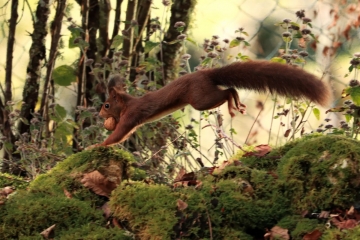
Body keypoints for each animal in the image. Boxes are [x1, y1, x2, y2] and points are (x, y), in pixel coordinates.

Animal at [97, 60, 330, 146]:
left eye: (106, 105)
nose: (99, 115)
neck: (126, 104)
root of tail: (208, 74)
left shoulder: (131, 116)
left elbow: (118, 136)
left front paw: (96, 145)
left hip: (201, 100)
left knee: (227, 91)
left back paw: (233, 106)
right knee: (230, 89)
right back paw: (236, 105)